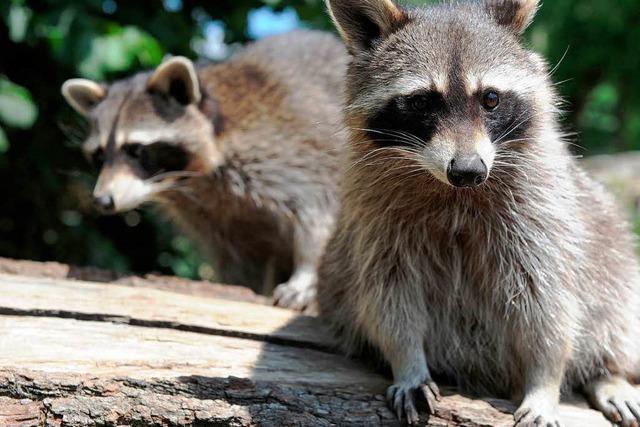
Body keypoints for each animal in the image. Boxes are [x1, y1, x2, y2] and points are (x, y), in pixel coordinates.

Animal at [62, 30, 348, 310]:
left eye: (137, 150)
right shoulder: (209, 216)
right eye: (100, 155)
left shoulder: (288, 154)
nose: (102, 200)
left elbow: (317, 210)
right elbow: (235, 259)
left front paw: (306, 273)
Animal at [318, 0, 640, 426]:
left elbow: (549, 304)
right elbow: (387, 296)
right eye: (421, 101)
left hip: (614, 257)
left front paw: (545, 382)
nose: (468, 171)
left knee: (615, 313)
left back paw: (610, 373)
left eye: (490, 99)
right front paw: (408, 363)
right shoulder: (373, 218)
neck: (451, 191)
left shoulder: (542, 214)